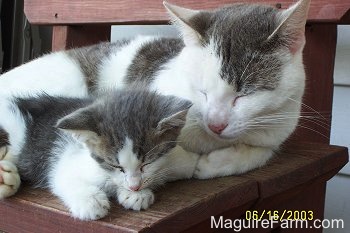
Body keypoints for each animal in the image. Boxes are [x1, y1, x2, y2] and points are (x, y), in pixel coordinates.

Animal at [0, 0, 310, 185]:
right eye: (202, 91)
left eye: (244, 94)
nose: (215, 124)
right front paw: (192, 162)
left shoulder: (279, 125)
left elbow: (263, 150)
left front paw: (219, 162)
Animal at [0, 88, 198, 219]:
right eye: (115, 165)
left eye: (147, 163)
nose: (134, 187)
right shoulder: (64, 157)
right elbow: (62, 176)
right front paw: (90, 201)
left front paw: (135, 195)